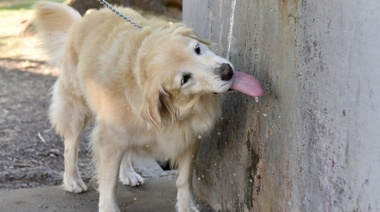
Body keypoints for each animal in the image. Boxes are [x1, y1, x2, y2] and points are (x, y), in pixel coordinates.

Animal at [34, 2, 262, 212]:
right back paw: (72, 180)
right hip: (77, 107)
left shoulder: (188, 137)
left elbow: (184, 180)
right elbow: (108, 181)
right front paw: (108, 207)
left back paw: (128, 173)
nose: (227, 71)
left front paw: (186, 206)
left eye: (197, 49)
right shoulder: (109, 139)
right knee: (71, 145)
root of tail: (86, 17)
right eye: (185, 79)